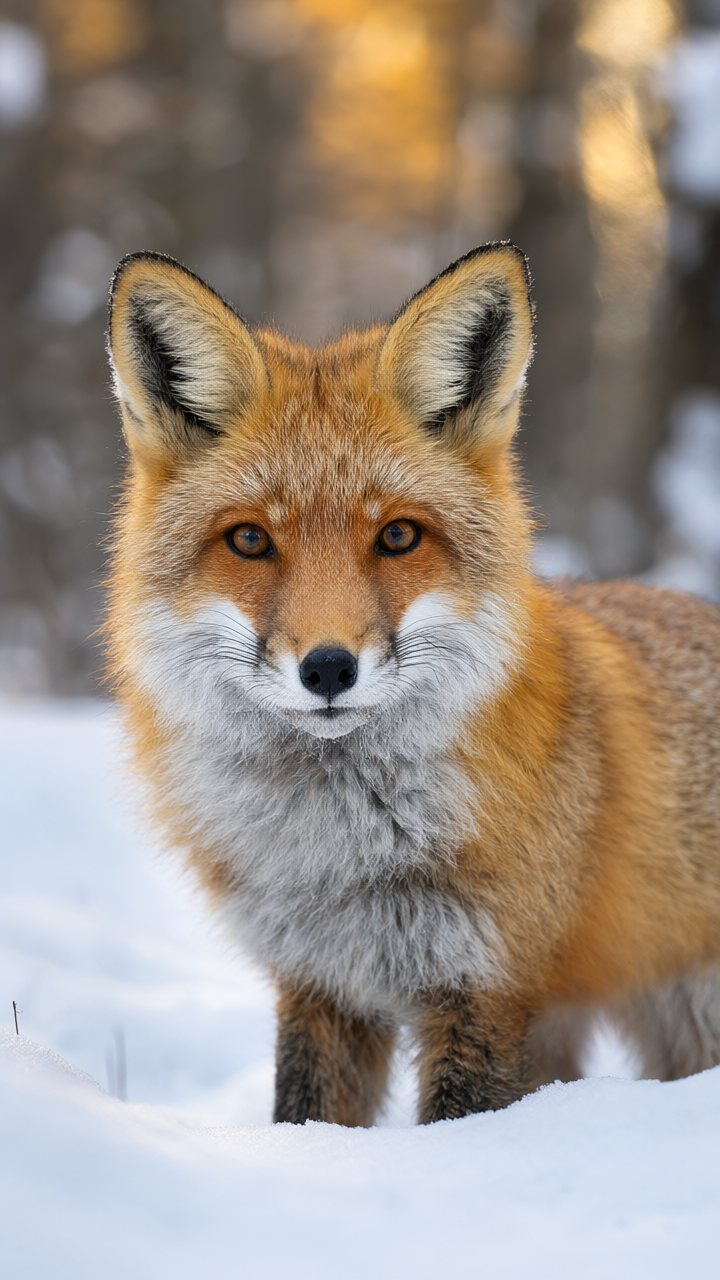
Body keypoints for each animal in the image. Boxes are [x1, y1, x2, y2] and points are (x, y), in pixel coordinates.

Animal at [106, 243, 720, 1125]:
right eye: (250, 540)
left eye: (398, 537)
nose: (328, 668)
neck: (338, 856)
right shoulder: (322, 983)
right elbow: (306, 1116)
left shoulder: (485, 986)